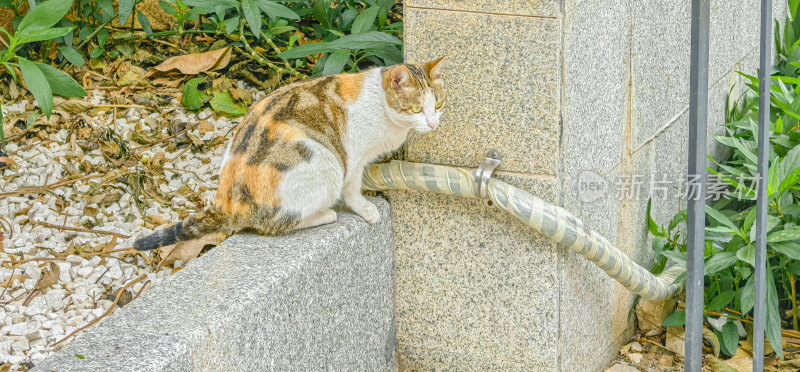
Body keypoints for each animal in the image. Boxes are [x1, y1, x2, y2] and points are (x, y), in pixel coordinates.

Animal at [134, 57, 446, 250]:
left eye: (439, 104)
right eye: (416, 108)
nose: (433, 123)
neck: (381, 106)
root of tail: (226, 202)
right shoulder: (353, 158)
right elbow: (352, 188)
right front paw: (365, 209)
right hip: (326, 163)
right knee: (275, 225)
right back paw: (325, 214)